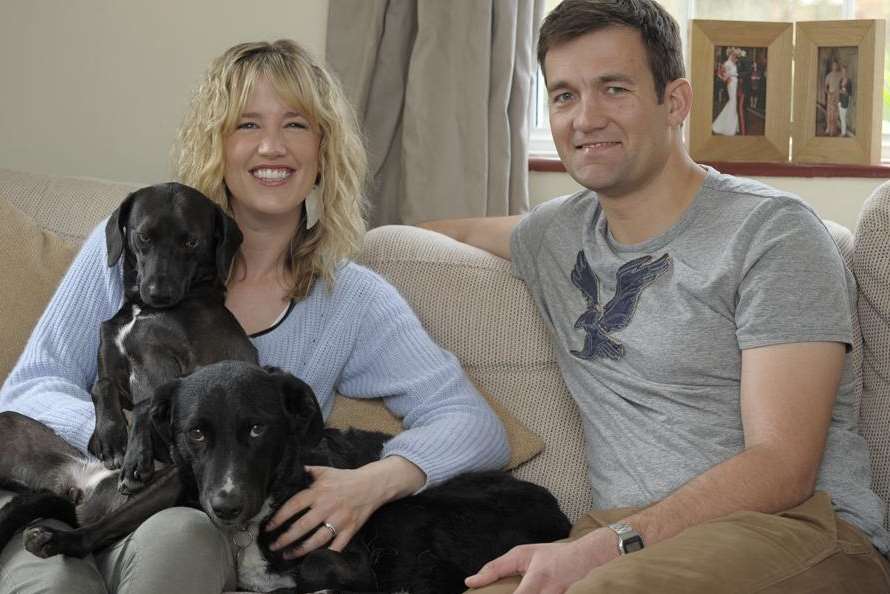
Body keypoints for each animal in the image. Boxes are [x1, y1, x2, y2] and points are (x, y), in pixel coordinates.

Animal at [88, 182, 256, 490]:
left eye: (192, 242)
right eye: (144, 236)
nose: (159, 293)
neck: (142, 311)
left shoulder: (180, 366)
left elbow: (145, 405)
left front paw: (134, 458)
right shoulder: (111, 353)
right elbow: (101, 385)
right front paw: (108, 436)